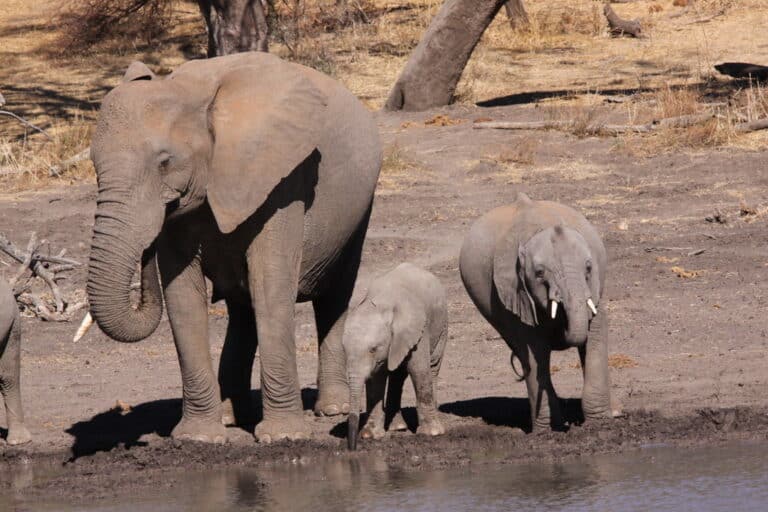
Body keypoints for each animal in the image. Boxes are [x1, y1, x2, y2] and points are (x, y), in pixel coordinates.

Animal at [86, 52, 382, 443]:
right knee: (243, 307)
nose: (145, 248)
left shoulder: (284, 179)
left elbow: (271, 285)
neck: (192, 94)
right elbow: (183, 298)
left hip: (358, 210)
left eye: (164, 162)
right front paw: (198, 437)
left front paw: (283, 436)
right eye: (93, 165)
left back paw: (333, 408)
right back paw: (230, 416)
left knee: (333, 295)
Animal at [343, 263, 448, 450]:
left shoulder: (417, 330)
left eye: (373, 349)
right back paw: (398, 427)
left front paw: (432, 433)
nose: (352, 448)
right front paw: (370, 435)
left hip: (442, 324)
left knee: (432, 367)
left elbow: (418, 370)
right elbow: (376, 379)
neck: (382, 303)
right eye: (344, 350)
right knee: (397, 375)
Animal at [459, 192, 620, 431]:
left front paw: (601, 422)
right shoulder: (515, 293)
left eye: (589, 268)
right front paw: (549, 429)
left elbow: (596, 333)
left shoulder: (593, 289)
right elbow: (533, 348)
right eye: (539, 273)